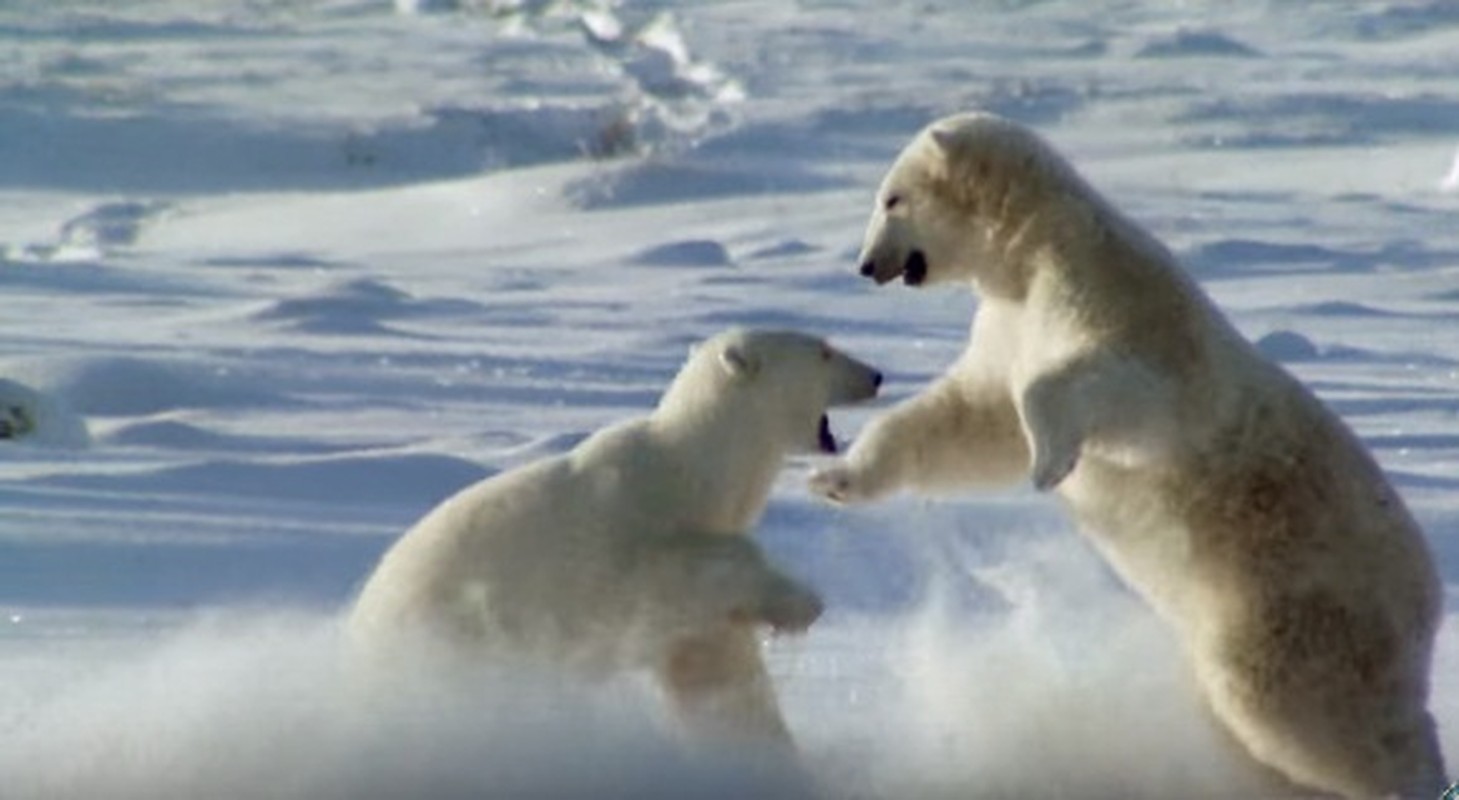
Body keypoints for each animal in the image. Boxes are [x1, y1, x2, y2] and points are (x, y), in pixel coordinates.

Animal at [350, 325, 875, 747]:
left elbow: (712, 669)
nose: (875, 376)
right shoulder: (629, 545)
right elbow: (682, 572)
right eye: (825, 352)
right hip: (448, 640)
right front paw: (800, 602)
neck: (693, 471)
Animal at [811, 113, 1447, 800]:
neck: (1033, 247)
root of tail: (1426, 601)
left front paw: (1051, 461)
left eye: (892, 198)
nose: (866, 265)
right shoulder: (1009, 326)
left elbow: (1122, 392)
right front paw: (835, 478)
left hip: (1292, 604)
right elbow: (970, 422)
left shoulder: (1111, 299)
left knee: (1304, 710)